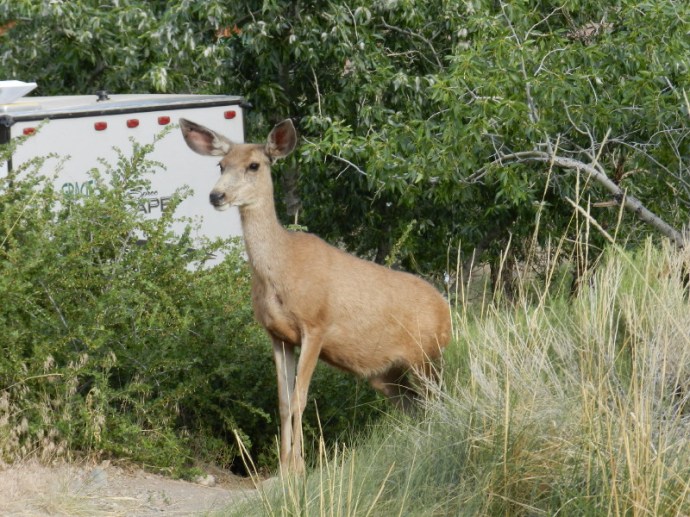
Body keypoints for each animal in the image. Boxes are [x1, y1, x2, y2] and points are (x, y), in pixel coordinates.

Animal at [180, 118, 452, 473]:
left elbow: (300, 397)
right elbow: (283, 400)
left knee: (440, 400)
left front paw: (297, 468)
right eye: (221, 164)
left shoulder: (316, 325)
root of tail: (447, 310)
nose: (217, 195)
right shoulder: (278, 335)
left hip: (428, 356)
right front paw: (282, 468)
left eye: (254, 165)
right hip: (390, 375)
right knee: (416, 408)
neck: (281, 269)